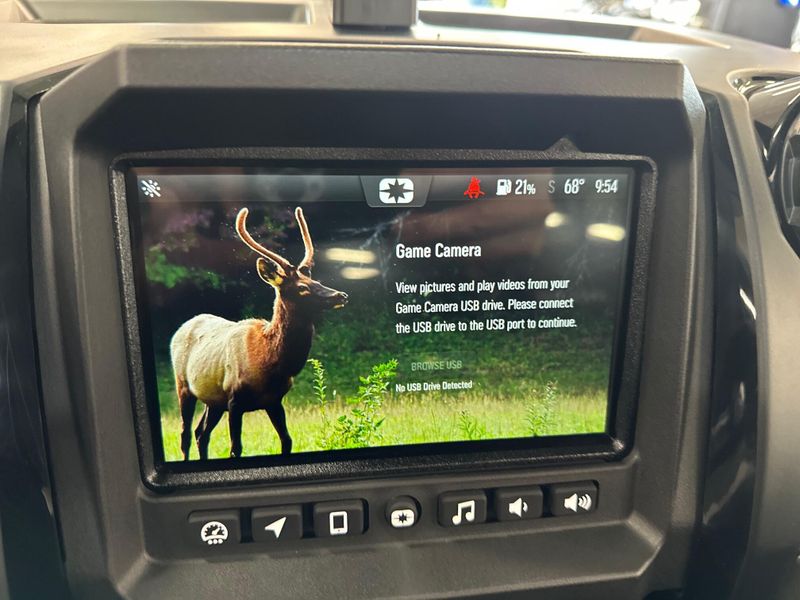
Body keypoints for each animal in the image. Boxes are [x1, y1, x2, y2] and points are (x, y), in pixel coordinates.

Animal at [170, 206, 348, 460]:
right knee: (185, 434)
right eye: (302, 288)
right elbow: (236, 449)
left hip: (213, 400)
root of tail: (181, 328)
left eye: (316, 280)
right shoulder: (234, 399)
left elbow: (287, 441)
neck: (268, 362)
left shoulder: (274, 401)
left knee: (200, 433)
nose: (341, 295)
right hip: (184, 386)